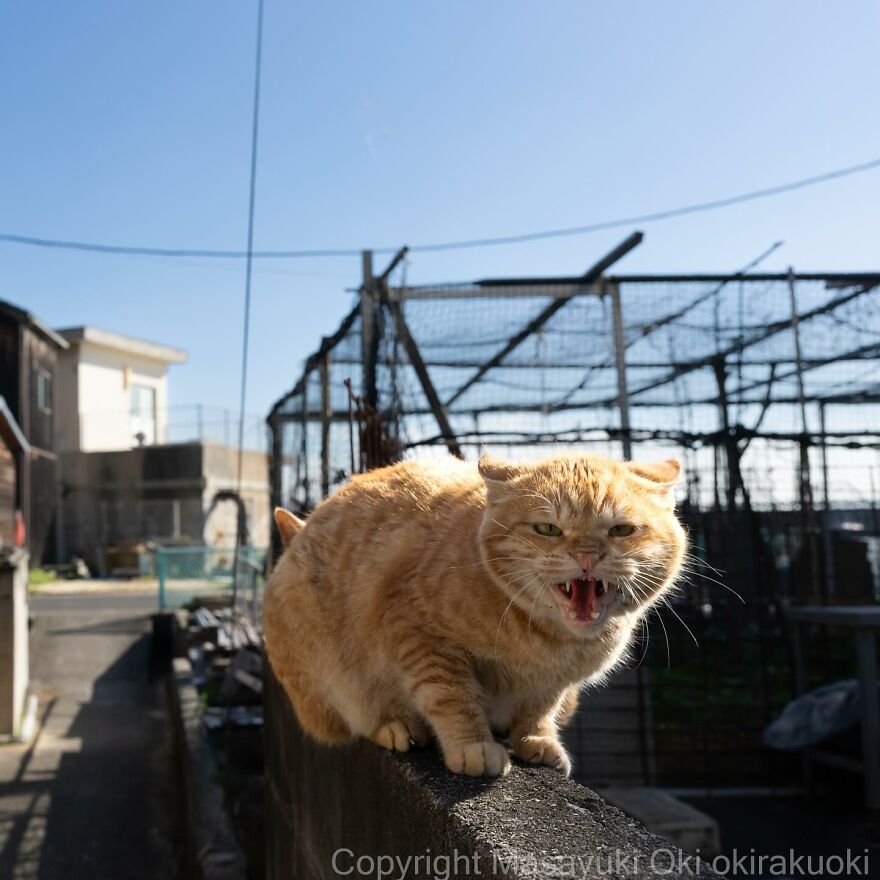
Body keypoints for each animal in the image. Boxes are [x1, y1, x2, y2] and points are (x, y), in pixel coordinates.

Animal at [262, 454, 688, 776]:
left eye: (621, 530)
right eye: (548, 528)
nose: (587, 555)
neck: (551, 643)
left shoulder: (554, 684)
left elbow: (539, 708)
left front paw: (536, 738)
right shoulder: (418, 632)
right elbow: (451, 696)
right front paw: (473, 747)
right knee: (358, 716)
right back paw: (396, 726)